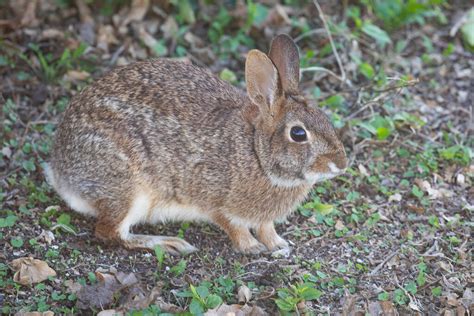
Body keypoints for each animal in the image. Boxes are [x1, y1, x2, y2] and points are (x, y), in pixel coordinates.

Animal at [44, 34, 346, 256]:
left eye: (325, 118)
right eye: (298, 133)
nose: (341, 164)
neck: (256, 152)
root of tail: (61, 174)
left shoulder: (261, 216)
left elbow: (265, 227)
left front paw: (277, 244)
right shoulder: (214, 200)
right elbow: (233, 226)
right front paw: (251, 248)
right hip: (126, 188)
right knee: (109, 232)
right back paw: (169, 243)